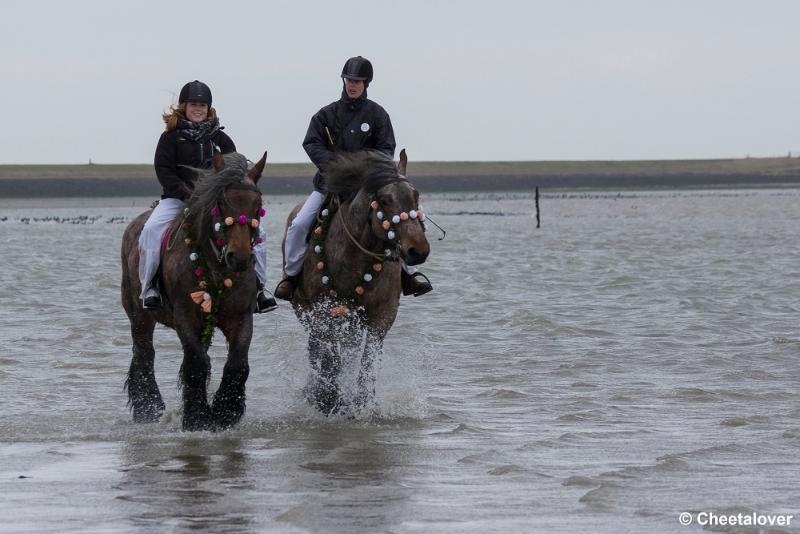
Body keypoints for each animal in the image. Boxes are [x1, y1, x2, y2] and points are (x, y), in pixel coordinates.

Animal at [120, 150, 268, 432]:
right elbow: (196, 364)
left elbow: (237, 364)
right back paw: (148, 409)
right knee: (144, 355)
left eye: (258, 204)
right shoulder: (185, 316)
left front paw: (224, 413)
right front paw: (198, 417)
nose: (240, 258)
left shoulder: (241, 317)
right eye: (221, 202)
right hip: (139, 316)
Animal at [282, 149, 428, 416]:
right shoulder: (324, 313)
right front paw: (328, 399)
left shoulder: (382, 316)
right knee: (316, 349)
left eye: (415, 196)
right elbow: (330, 357)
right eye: (384, 200)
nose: (418, 251)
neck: (352, 258)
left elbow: (367, 361)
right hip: (307, 312)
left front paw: (361, 404)